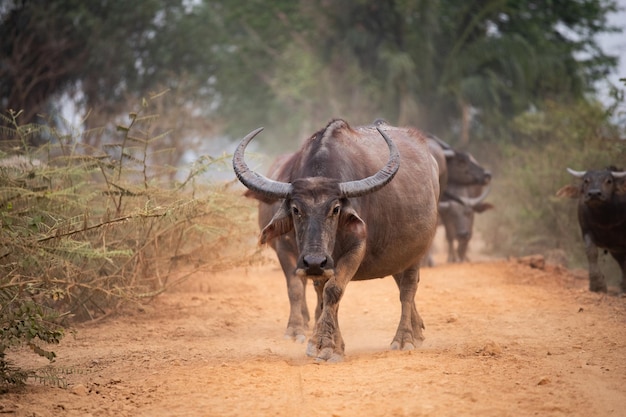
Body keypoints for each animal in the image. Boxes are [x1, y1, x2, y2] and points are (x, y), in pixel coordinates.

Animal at [234, 118, 438, 360]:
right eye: (296, 209)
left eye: (336, 209)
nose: (314, 261)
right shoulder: (306, 259)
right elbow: (318, 294)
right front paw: (325, 341)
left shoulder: (355, 249)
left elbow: (333, 291)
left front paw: (325, 345)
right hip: (396, 254)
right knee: (401, 285)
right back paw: (417, 331)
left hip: (417, 251)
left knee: (407, 289)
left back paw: (404, 338)